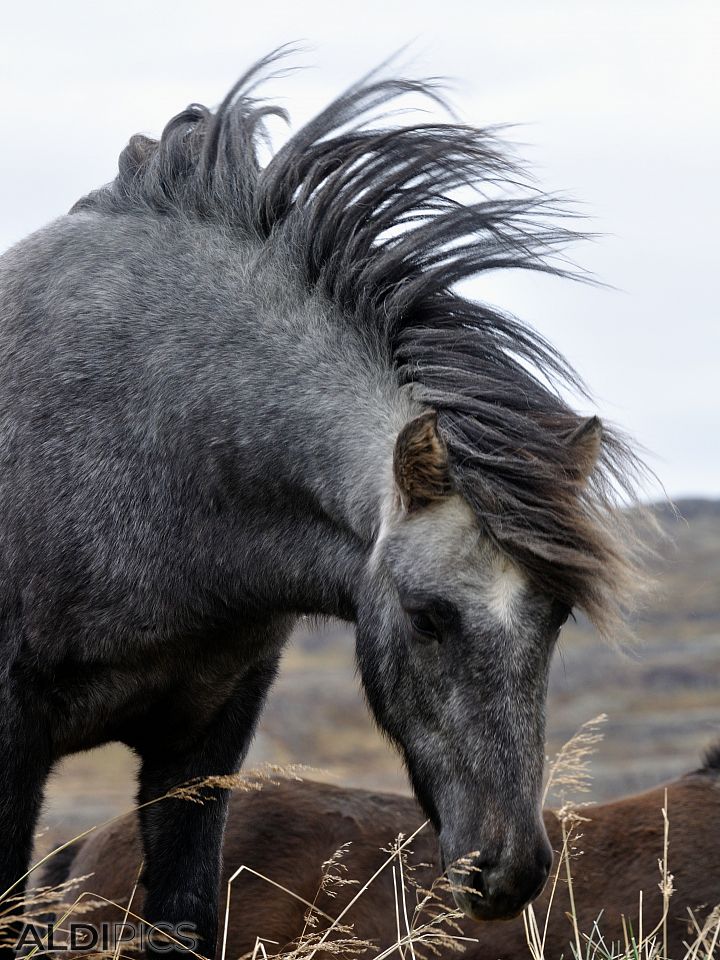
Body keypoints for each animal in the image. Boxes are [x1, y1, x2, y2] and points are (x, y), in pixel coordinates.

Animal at [0, 50, 644, 960]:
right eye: (426, 616)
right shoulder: (13, 740)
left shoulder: (203, 739)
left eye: (557, 617)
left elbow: (186, 911)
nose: (508, 871)